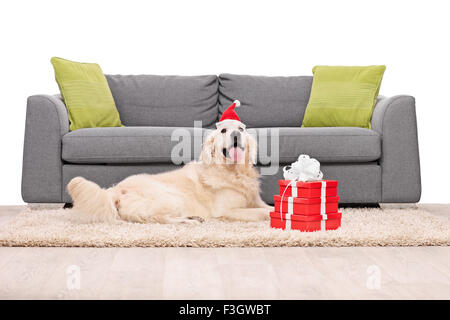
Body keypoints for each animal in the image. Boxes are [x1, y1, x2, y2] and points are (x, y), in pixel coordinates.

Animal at [67, 119, 270, 224]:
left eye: (241, 129)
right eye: (223, 131)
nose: (236, 135)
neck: (233, 172)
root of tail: (115, 189)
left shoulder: (256, 201)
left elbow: (269, 207)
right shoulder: (226, 210)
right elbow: (263, 213)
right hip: (172, 197)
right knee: (159, 218)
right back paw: (190, 220)